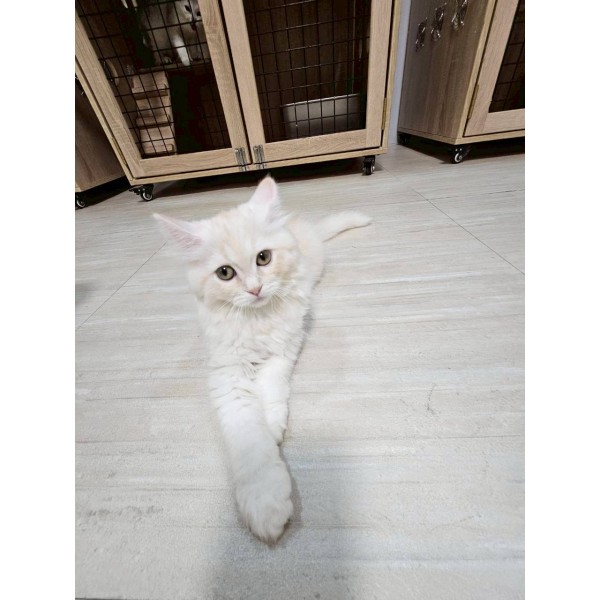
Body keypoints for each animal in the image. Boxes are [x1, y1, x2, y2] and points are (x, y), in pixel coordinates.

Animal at [154, 176, 371, 542]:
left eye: (263, 258)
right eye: (225, 273)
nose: (255, 289)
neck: (256, 320)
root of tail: (296, 223)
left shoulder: (284, 349)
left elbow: (270, 393)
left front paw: (273, 429)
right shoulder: (228, 374)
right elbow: (249, 439)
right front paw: (264, 503)